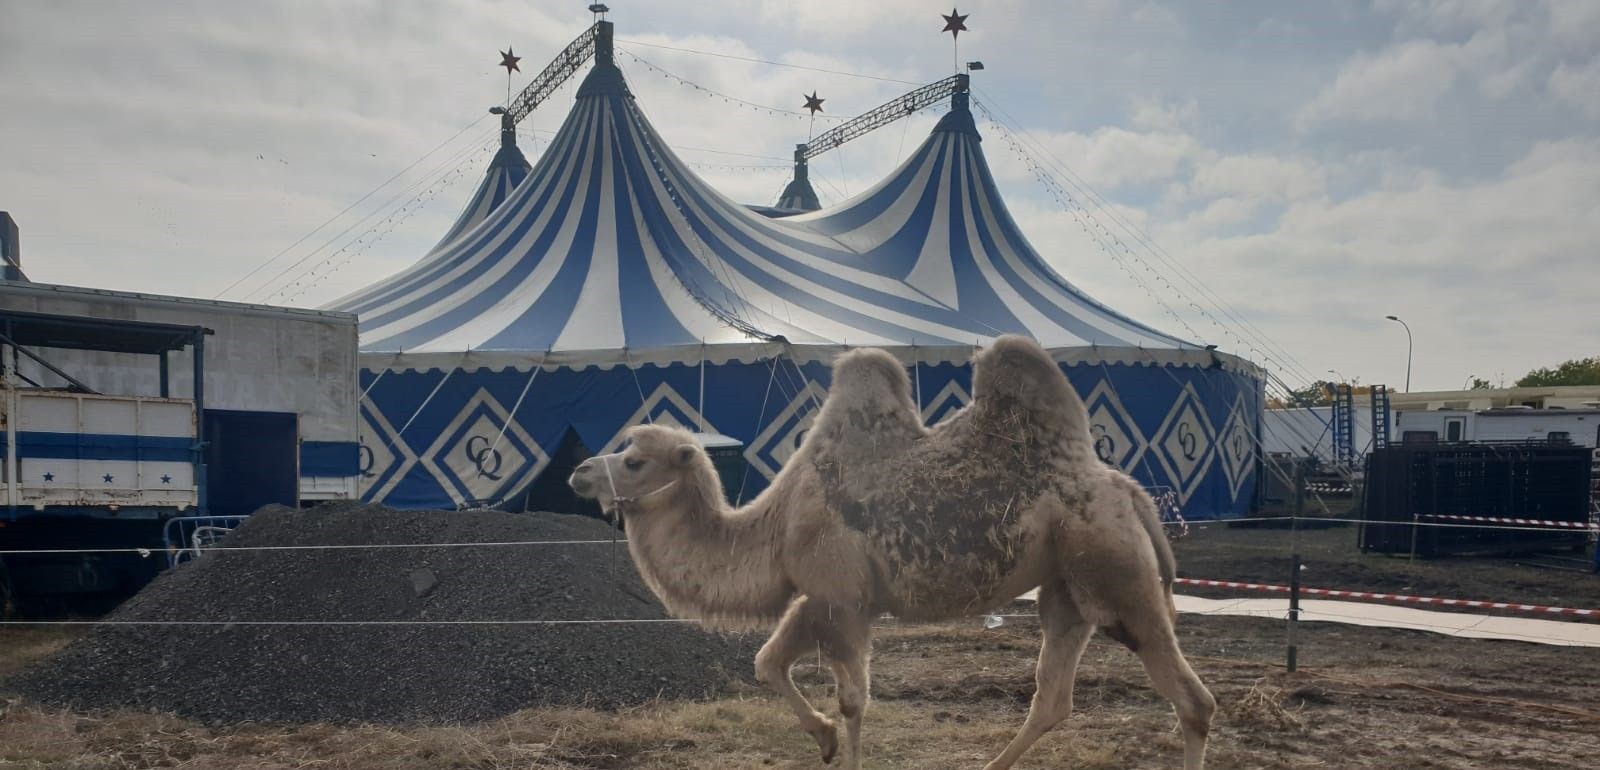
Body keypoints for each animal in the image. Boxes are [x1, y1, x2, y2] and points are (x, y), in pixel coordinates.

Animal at [572, 336, 1209, 768]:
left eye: (634, 460)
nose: (579, 471)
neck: (774, 526)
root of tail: (1131, 492)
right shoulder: (819, 599)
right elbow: (767, 663)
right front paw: (824, 740)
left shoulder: (841, 598)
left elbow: (854, 699)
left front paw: (839, 742)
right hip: (1067, 589)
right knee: (1052, 697)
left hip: (1115, 571)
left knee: (1192, 700)